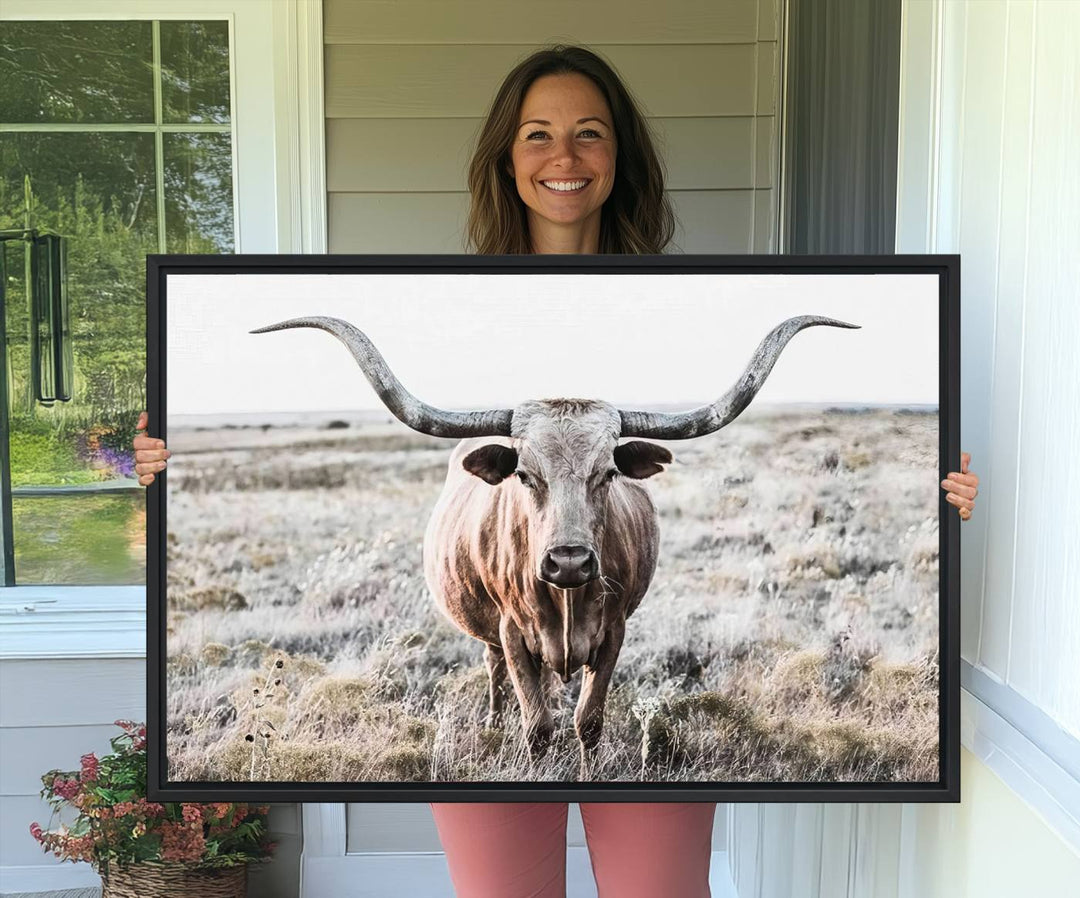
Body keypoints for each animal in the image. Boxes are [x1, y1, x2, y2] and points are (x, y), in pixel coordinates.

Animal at [250, 313, 851, 773]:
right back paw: (494, 723)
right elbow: (536, 723)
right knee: (496, 676)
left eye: (608, 473)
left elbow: (589, 720)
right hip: (491, 635)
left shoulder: (613, 633)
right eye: (524, 474)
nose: (568, 562)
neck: (565, 601)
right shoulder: (514, 634)